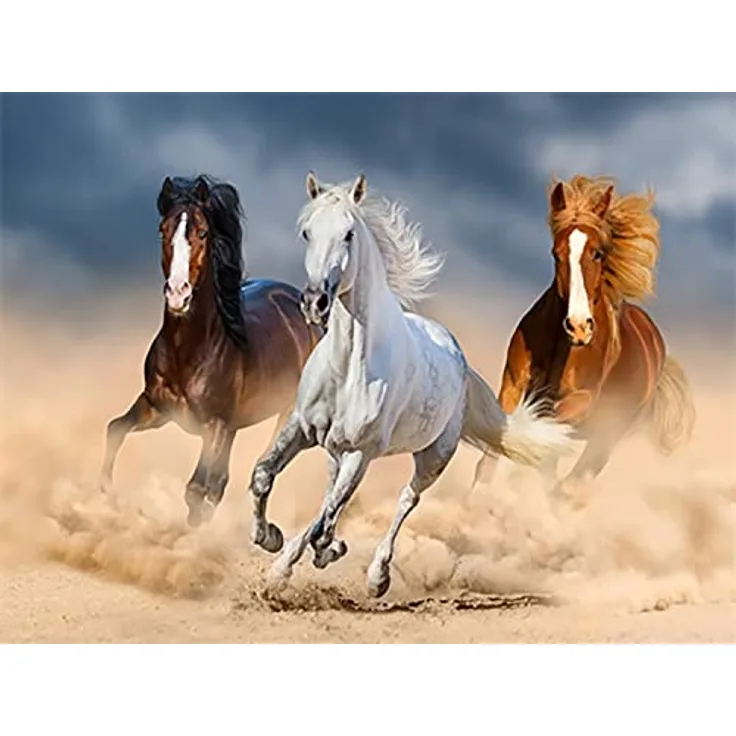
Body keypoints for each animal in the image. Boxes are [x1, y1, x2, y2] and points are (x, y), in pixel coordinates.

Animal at [99, 175, 323, 527]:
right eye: (163, 230)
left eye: (203, 232)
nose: (178, 294)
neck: (189, 351)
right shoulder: (157, 408)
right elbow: (115, 430)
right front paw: (107, 494)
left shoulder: (214, 425)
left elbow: (195, 489)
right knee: (220, 482)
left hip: (282, 415)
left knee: (251, 471)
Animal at [246, 170, 577, 598]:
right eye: (307, 232)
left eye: (349, 234)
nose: (315, 302)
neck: (348, 368)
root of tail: (458, 357)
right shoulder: (302, 428)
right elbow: (264, 477)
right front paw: (269, 538)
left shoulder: (362, 453)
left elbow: (325, 521)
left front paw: (320, 554)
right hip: (337, 451)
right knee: (331, 497)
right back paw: (294, 562)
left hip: (433, 456)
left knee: (405, 500)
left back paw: (376, 576)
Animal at [472, 174, 696, 505]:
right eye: (556, 253)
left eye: (597, 252)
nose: (579, 327)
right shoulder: (512, 384)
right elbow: (500, 439)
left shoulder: (582, 401)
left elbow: (543, 425)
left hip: (608, 435)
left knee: (574, 477)